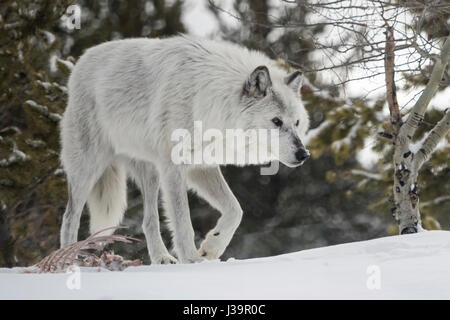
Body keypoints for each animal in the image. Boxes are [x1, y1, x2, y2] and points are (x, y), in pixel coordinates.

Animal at [59, 35, 310, 264]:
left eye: (297, 123)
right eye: (276, 121)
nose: (303, 154)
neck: (207, 101)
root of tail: (80, 62)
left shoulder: (201, 167)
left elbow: (235, 210)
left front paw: (211, 248)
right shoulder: (174, 168)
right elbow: (183, 222)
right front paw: (191, 260)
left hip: (150, 174)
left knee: (149, 221)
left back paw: (161, 258)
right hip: (88, 168)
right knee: (69, 217)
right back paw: (67, 262)